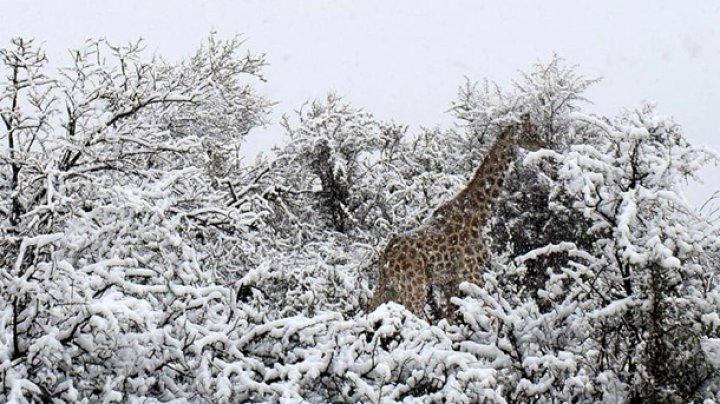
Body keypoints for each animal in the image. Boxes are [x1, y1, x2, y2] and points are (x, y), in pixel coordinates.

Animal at [368, 115, 544, 320]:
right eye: (531, 131)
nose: (543, 143)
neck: (478, 215)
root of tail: (386, 254)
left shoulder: (450, 281)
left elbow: (449, 318)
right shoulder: (472, 272)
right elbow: (488, 311)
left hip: (388, 287)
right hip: (414, 285)